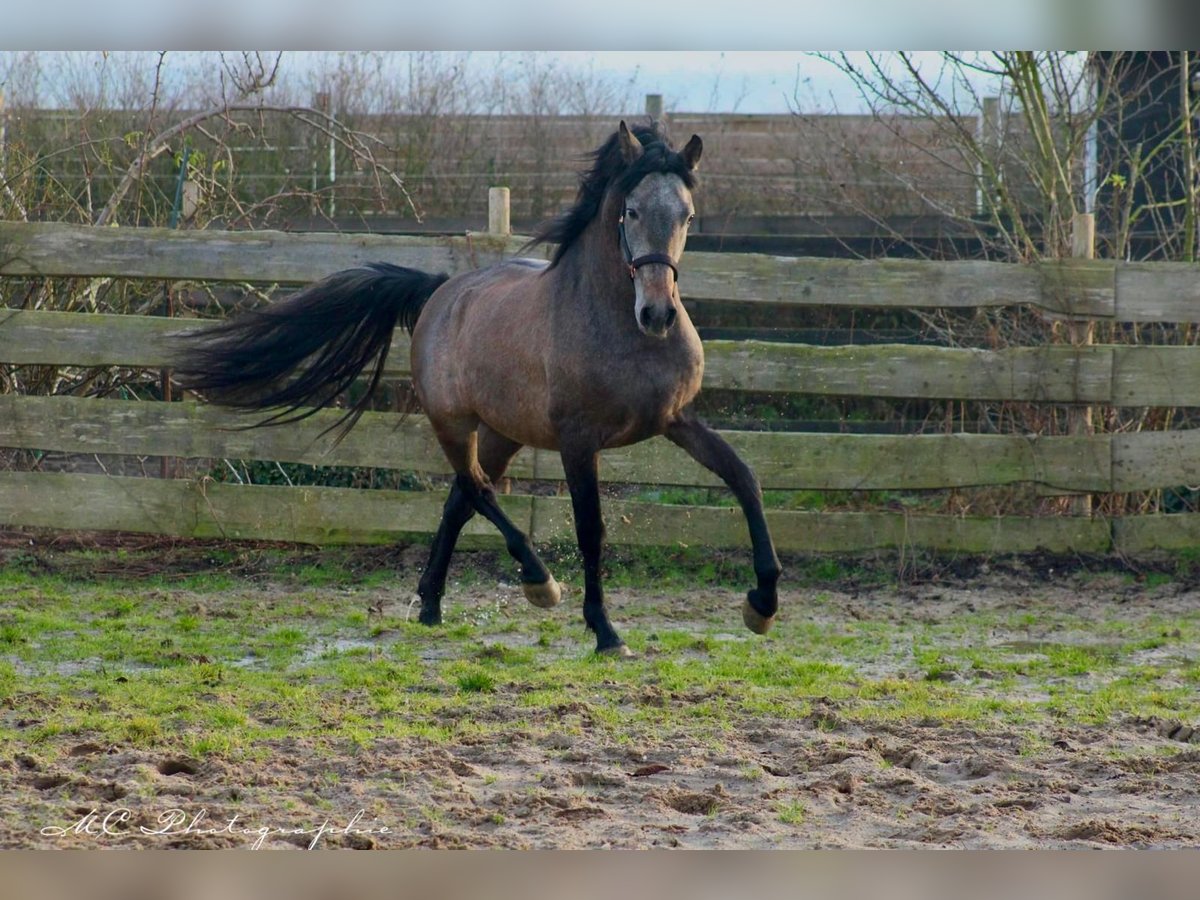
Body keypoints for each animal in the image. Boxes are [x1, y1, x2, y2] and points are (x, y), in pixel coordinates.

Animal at [175, 121, 777, 657]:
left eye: (687, 215)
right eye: (630, 211)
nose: (657, 314)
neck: (617, 328)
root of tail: (442, 292)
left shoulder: (676, 419)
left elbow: (745, 479)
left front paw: (763, 604)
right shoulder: (579, 442)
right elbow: (591, 529)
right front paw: (606, 632)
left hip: (503, 433)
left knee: (459, 501)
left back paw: (430, 604)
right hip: (453, 424)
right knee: (478, 489)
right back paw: (538, 583)